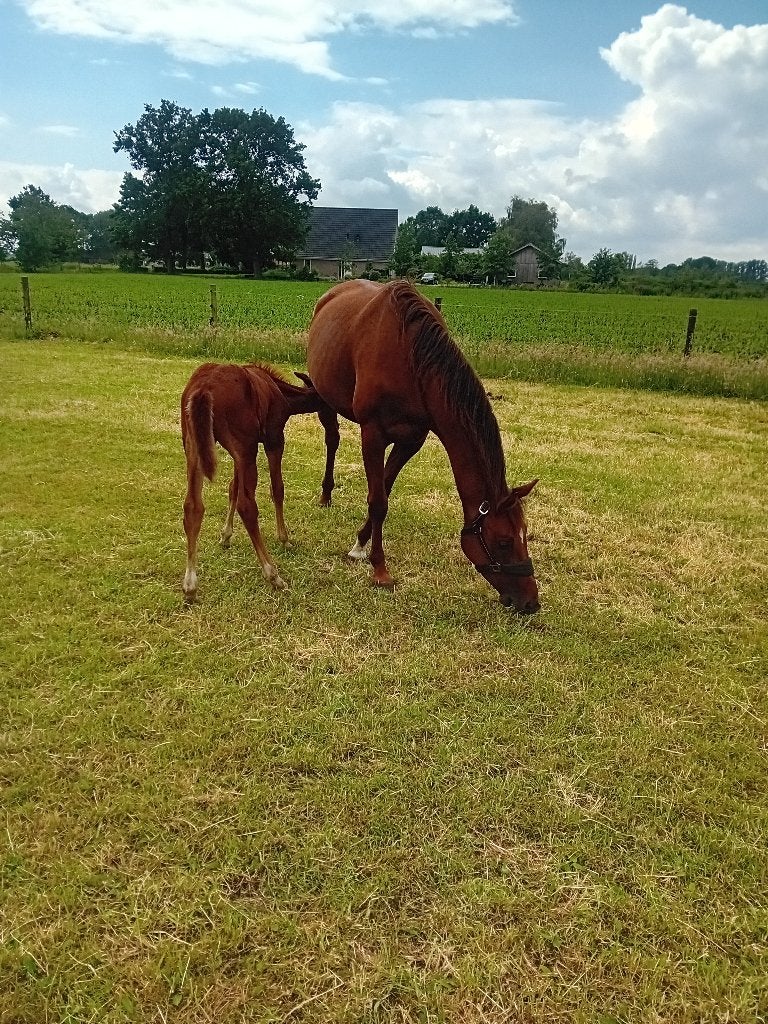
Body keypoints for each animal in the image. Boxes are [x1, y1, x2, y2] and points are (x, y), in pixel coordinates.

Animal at [180, 362, 339, 601]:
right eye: (325, 402)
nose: (334, 426)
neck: (281, 393)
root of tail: (202, 390)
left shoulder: (239, 451)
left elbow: (232, 487)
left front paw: (226, 535)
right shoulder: (273, 438)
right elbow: (277, 489)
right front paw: (284, 538)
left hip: (195, 446)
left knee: (193, 506)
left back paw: (190, 585)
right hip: (245, 446)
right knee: (247, 506)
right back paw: (272, 574)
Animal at [306, 279, 540, 613]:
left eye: (525, 535)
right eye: (504, 542)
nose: (531, 602)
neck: (412, 361)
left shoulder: (411, 440)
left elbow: (384, 490)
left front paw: (361, 541)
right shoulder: (373, 434)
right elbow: (378, 501)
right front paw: (379, 568)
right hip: (322, 394)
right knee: (332, 440)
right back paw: (326, 494)